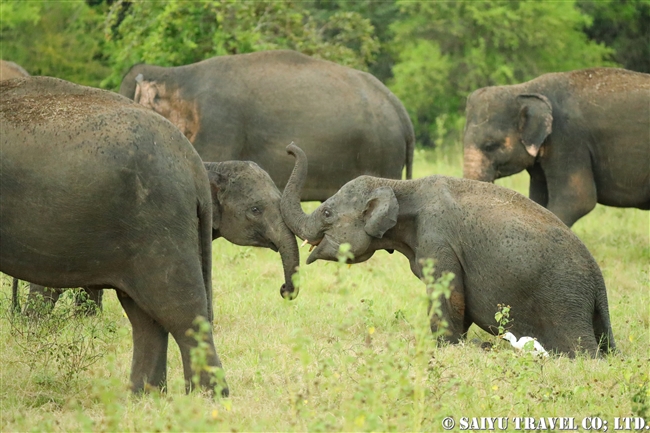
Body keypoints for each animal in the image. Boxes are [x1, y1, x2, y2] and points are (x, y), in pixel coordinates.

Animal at [280, 145, 616, 358]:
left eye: (326, 213)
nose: (289, 148)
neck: (401, 186)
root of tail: (598, 282)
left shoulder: (438, 240)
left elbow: (448, 294)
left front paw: (445, 347)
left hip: (564, 300)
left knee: (582, 349)